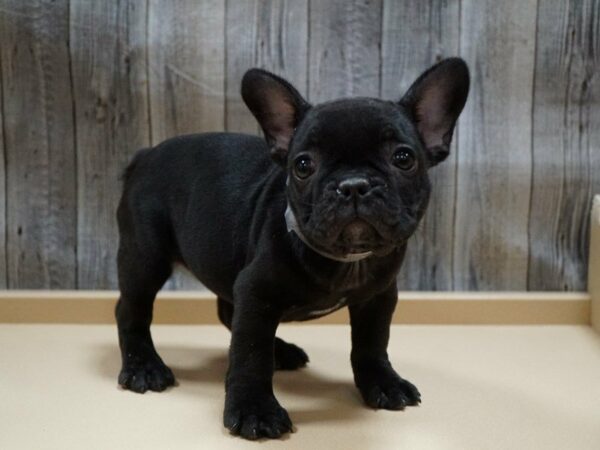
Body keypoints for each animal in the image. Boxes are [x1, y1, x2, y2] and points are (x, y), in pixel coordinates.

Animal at [116, 57, 468, 440]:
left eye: (403, 158)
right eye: (302, 165)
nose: (353, 184)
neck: (347, 259)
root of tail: (144, 155)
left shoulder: (378, 297)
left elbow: (373, 342)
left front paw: (383, 382)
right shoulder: (256, 291)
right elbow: (250, 354)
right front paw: (255, 409)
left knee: (227, 312)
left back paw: (280, 351)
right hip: (145, 258)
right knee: (132, 310)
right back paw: (144, 366)